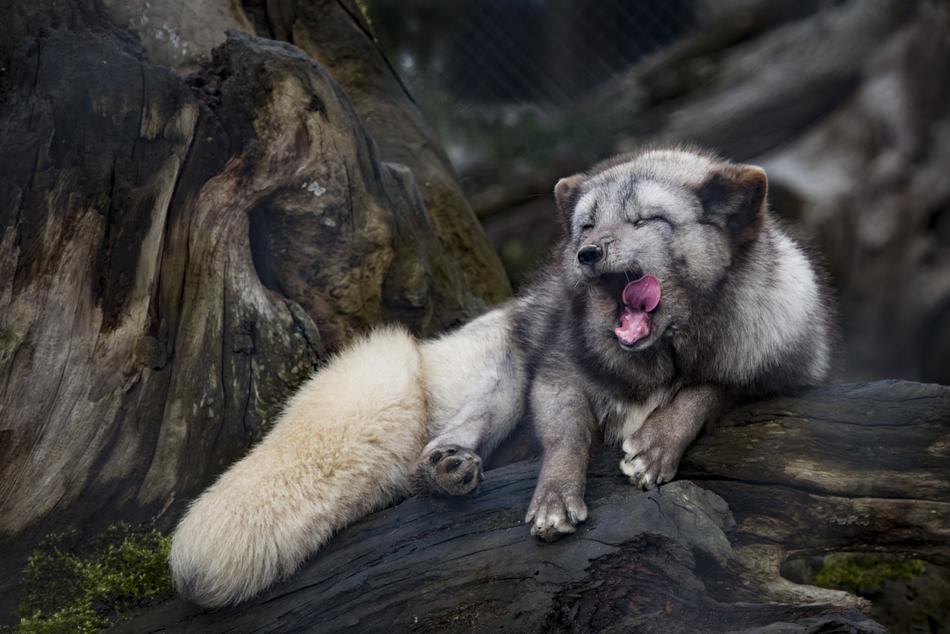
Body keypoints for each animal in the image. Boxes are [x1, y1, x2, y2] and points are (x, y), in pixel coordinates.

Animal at [169, 146, 833, 607]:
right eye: (587, 225)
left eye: (647, 219)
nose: (587, 255)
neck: (656, 362)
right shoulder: (556, 376)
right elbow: (566, 439)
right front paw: (555, 499)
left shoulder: (786, 361)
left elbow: (710, 388)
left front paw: (657, 444)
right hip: (505, 373)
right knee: (431, 453)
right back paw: (448, 467)